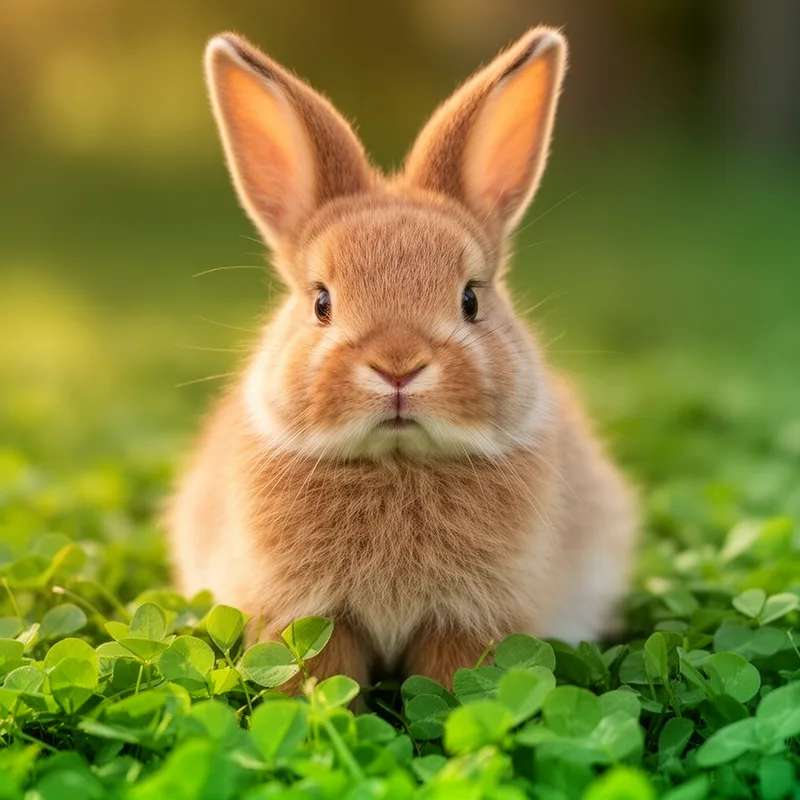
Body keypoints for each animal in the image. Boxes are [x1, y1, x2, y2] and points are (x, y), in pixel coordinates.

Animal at [168, 27, 638, 689]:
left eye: (470, 300)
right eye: (321, 303)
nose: (397, 367)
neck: (396, 460)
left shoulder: (467, 618)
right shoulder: (307, 615)